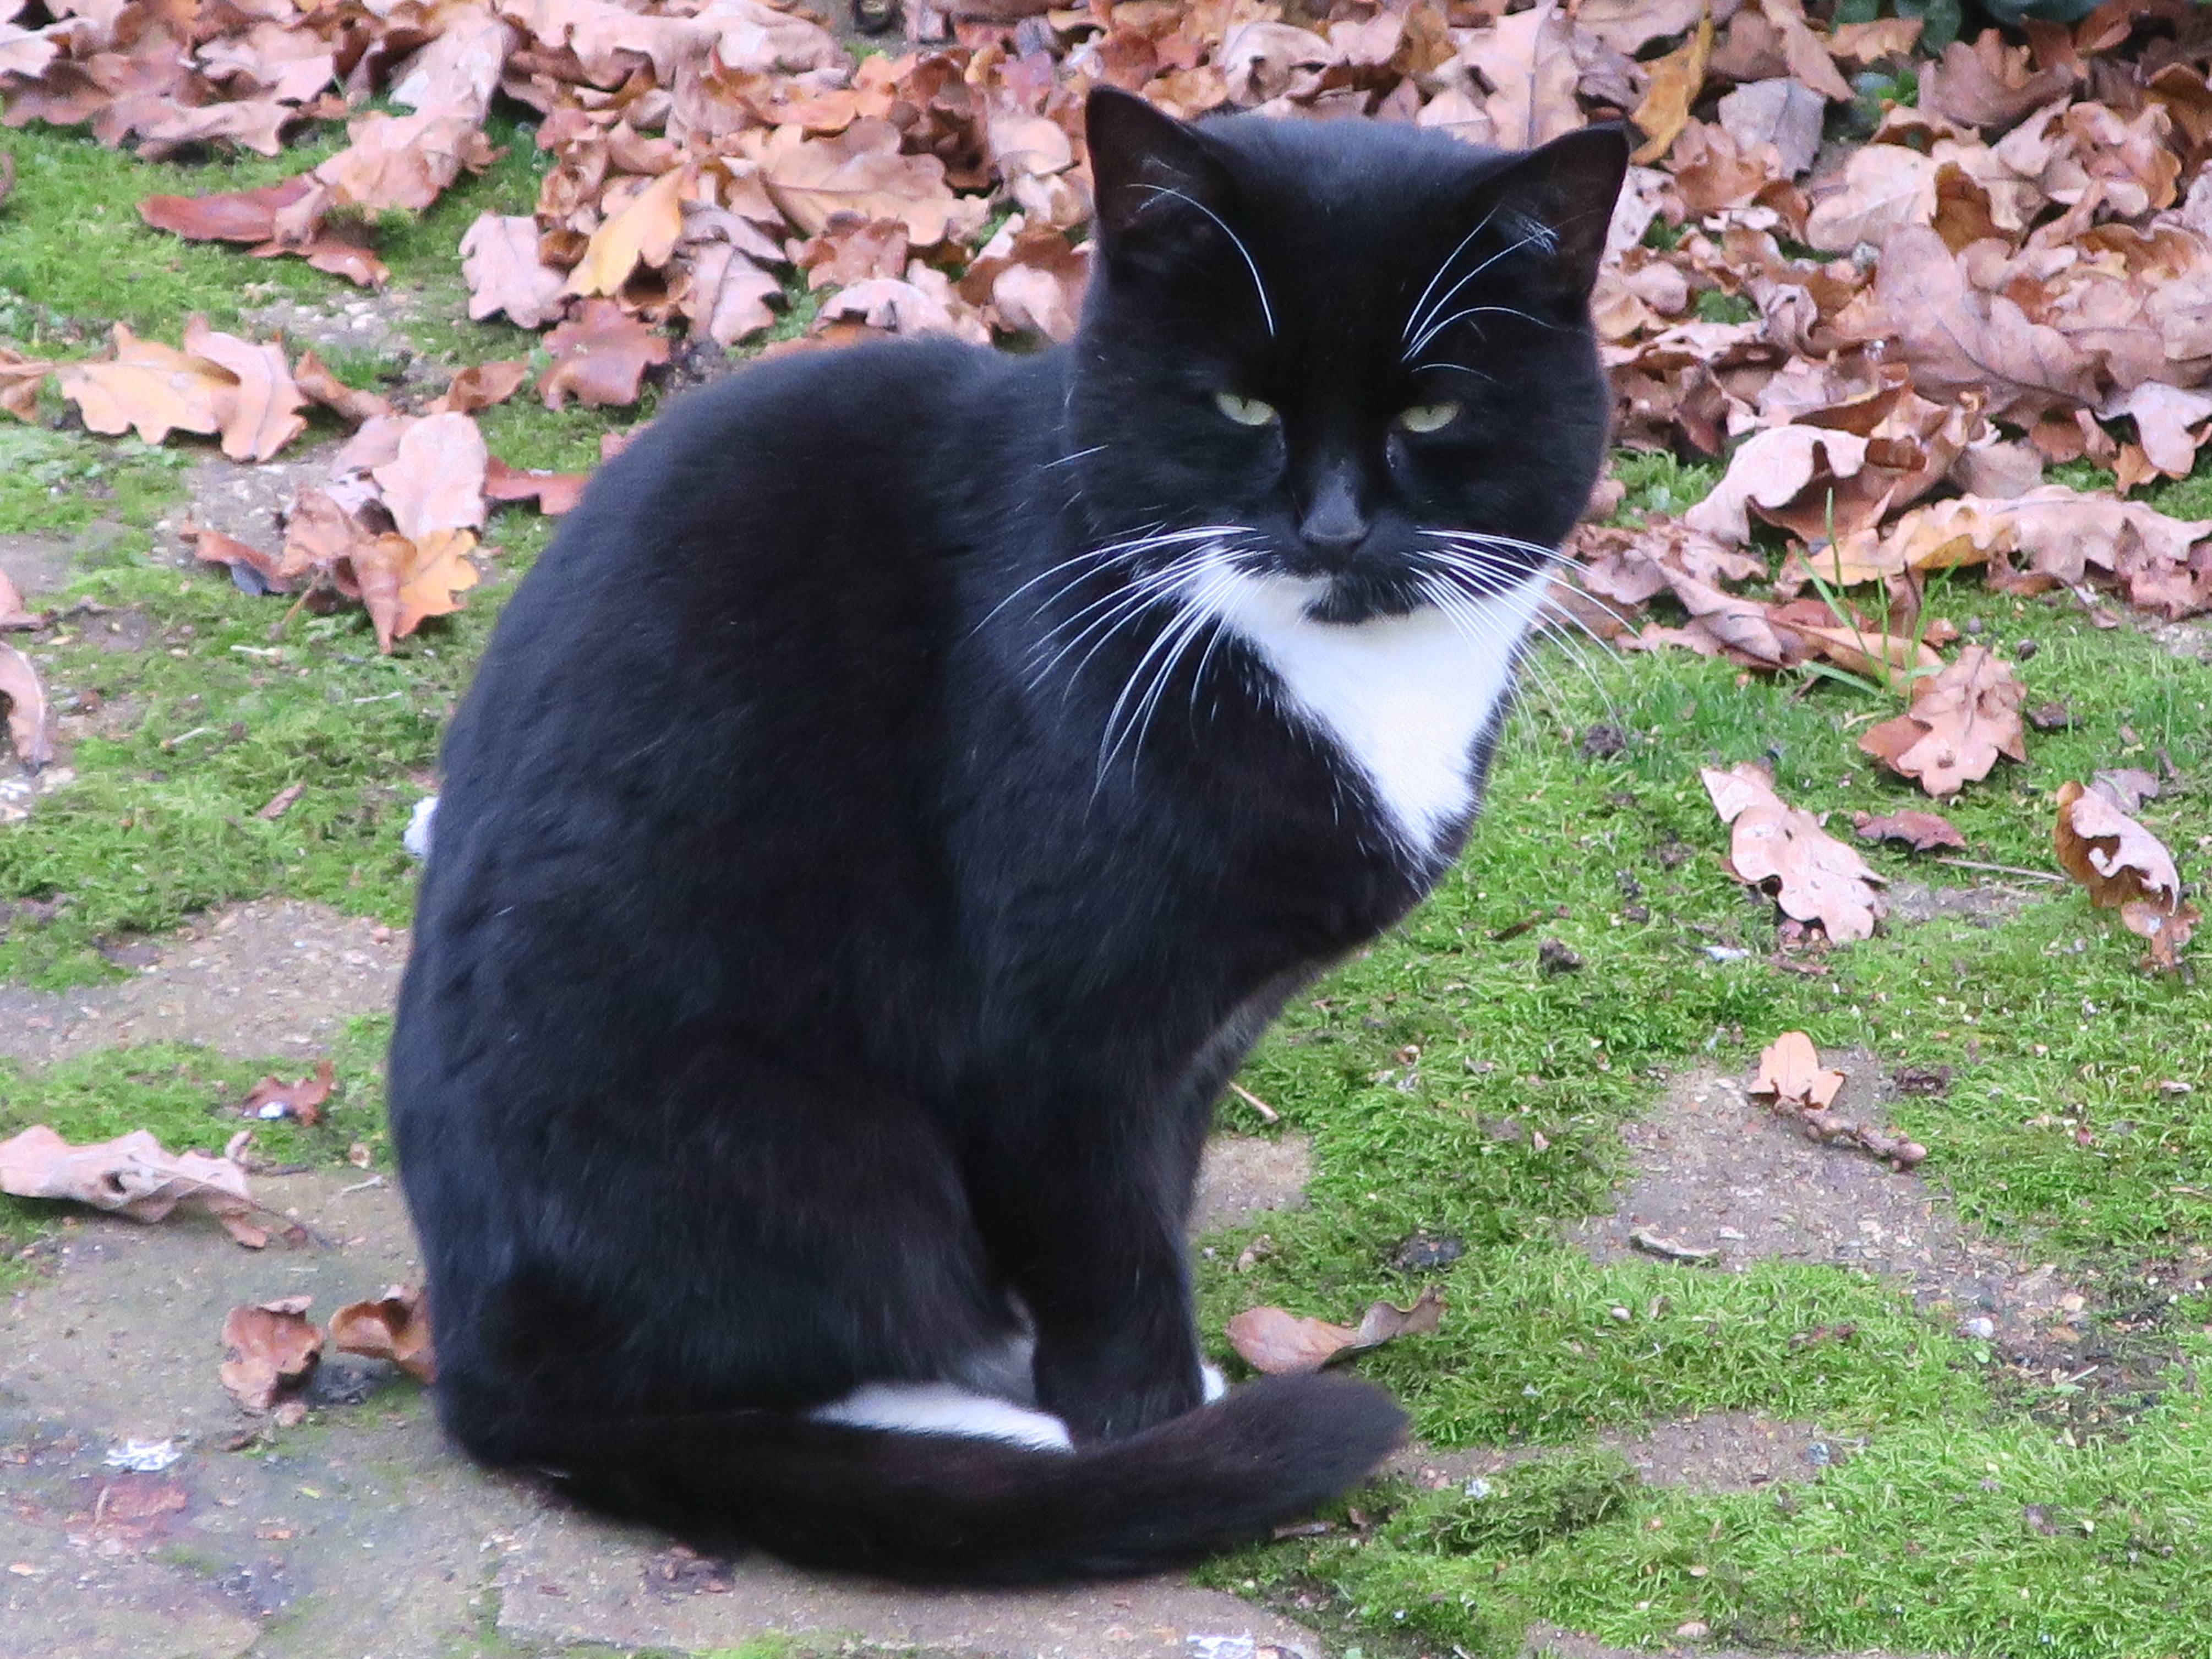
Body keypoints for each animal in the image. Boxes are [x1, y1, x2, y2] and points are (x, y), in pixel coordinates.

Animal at [389, 88, 1627, 1584]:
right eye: (1239, 403)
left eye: (1434, 409)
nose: (1331, 527)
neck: (1337, 677)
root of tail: (471, 1367)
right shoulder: (1054, 1031)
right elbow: (1108, 1243)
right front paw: (1154, 1430)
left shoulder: (1201, 1034)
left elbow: (1160, 1190)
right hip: (805, 1150)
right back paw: (998, 1438)